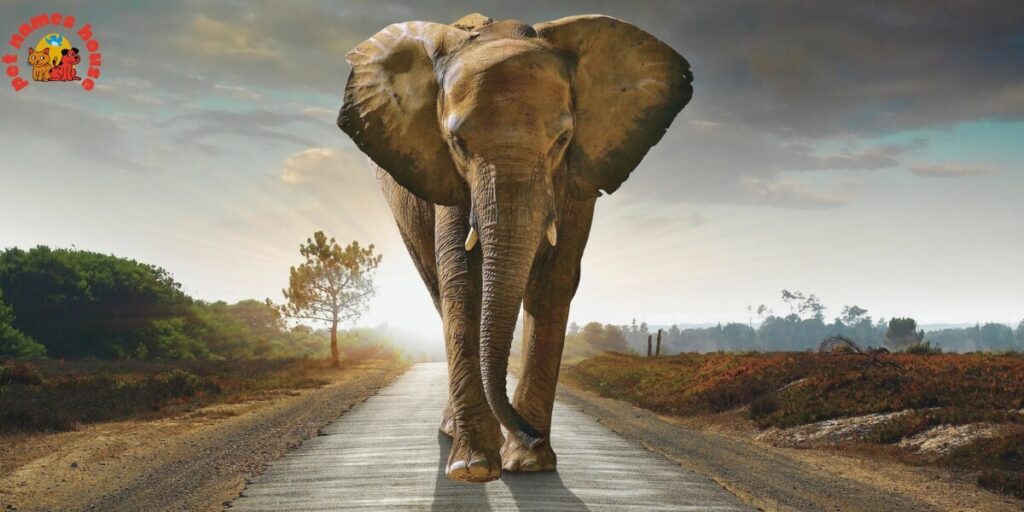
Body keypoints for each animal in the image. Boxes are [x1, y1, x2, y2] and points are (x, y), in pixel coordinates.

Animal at [338, 12, 692, 482]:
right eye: (458, 143)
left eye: (562, 139)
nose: (530, 434)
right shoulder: (447, 178)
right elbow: (462, 283)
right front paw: (474, 468)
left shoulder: (577, 177)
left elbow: (553, 283)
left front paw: (528, 464)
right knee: (438, 290)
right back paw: (455, 434)